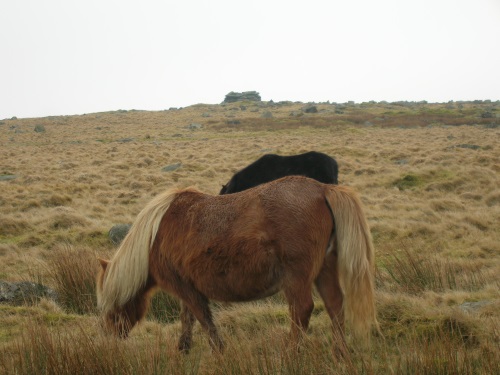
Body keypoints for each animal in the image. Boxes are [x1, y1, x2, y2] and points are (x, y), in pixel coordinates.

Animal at [95, 176, 376, 356]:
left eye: (109, 306)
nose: (110, 339)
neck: (154, 237)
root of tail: (323, 189)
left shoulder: (184, 288)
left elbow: (203, 319)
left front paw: (219, 351)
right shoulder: (187, 288)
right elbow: (188, 318)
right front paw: (183, 350)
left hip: (297, 278)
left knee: (302, 310)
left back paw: (291, 353)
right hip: (324, 271)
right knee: (335, 307)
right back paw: (339, 352)